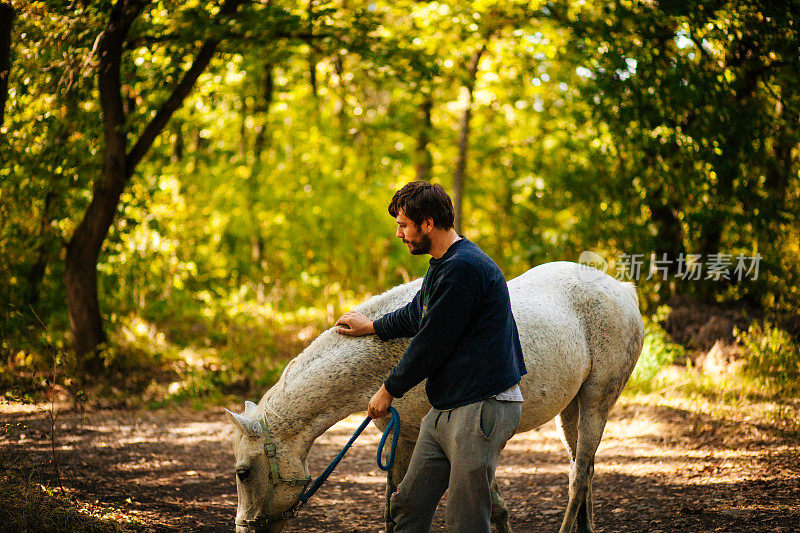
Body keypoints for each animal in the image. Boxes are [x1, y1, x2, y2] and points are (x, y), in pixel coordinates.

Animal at [225, 262, 644, 532]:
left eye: (243, 473)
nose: (243, 529)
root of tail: (622, 290)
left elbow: (489, 506)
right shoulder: (404, 437)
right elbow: (397, 503)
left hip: (597, 401)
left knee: (577, 479)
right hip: (571, 409)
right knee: (585, 471)